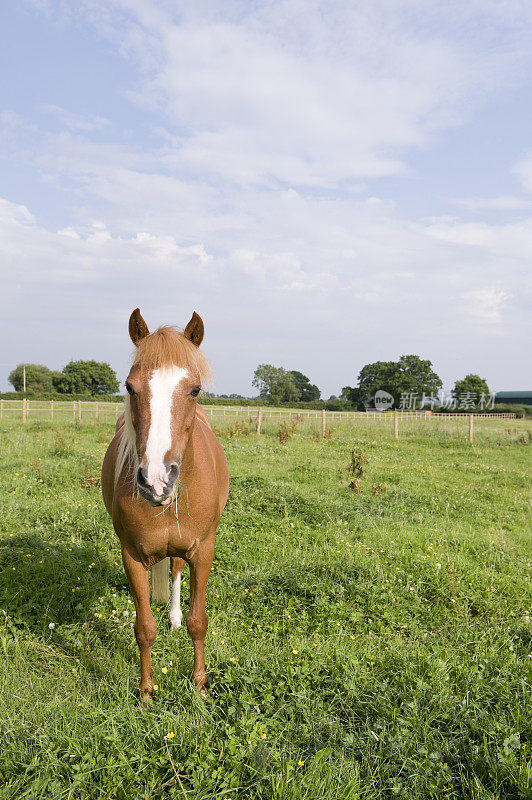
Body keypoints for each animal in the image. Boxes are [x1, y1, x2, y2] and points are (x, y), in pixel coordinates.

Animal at [102, 310, 229, 704]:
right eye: (130, 387)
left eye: (195, 389)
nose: (156, 479)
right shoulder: (131, 555)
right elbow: (143, 627)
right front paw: (146, 692)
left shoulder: (203, 550)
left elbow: (198, 621)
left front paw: (200, 684)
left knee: (174, 570)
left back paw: (174, 617)